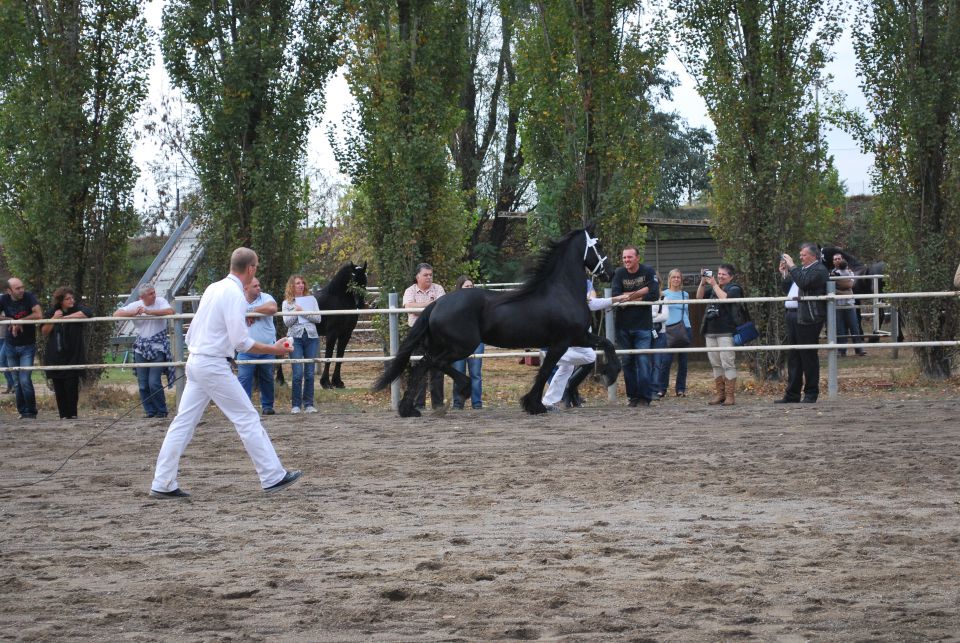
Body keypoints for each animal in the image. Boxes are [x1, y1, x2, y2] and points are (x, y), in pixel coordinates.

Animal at [316, 260, 368, 388]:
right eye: (354, 280)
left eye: (365, 281)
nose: (360, 304)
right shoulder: (331, 334)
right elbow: (328, 355)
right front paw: (325, 383)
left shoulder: (346, 334)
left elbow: (340, 355)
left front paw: (337, 381)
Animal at [372, 226, 620, 418]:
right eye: (598, 246)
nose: (610, 272)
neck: (562, 291)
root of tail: (437, 303)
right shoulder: (563, 342)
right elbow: (546, 370)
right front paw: (535, 405)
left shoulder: (578, 337)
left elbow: (606, 344)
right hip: (462, 346)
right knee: (434, 363)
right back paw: (462, 390)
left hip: (443, 345)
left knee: (422, 365)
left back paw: (408, 410)